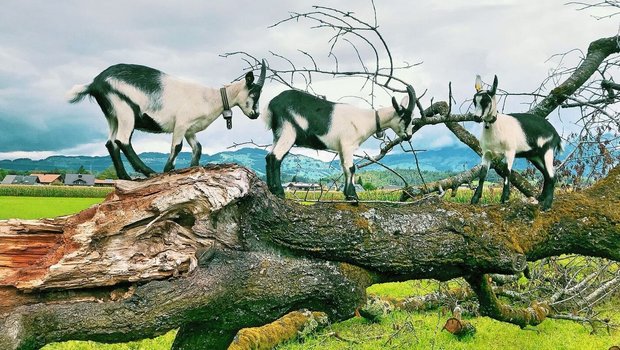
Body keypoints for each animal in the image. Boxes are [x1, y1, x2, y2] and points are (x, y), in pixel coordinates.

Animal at [66, 60, 268, 179]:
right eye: (254, 94)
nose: (256, 114)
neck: (210, 98)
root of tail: (95, 83)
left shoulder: (190, 130)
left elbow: (198, 148)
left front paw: (193, 168)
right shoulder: (181, 124)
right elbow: (177, 147)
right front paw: (167, 169)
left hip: (112, 115)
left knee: (111, 143)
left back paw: (125, 177)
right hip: (125, 110)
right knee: (122, 140)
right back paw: (148, 171)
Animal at [262, 86, 414, 201]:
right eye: (405, 118)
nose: (408, 136)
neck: (366, 120)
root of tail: (271, 105)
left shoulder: (341, 148)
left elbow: (345, 168)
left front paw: (347, 194)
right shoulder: (348, 145)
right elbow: (351, 168)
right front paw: (353, 196)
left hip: (278, 134)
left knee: (269, 156)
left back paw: (271, 189)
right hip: (288, 131)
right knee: (275, 157)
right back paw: (279, 192)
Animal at [470, 75, 560, 209]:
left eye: (486, 101)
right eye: (474, 101)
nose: (476, 117)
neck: (497, 126)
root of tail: (556, 134)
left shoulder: (510, 151)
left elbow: (507, 172)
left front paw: (504, 198)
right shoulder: (486, 153)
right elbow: (482, 174)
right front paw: (475, 199)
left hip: (547, 150)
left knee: (551, 175)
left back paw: (547, 205)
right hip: (535, 156)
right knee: (547, 175)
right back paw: (541, 198)